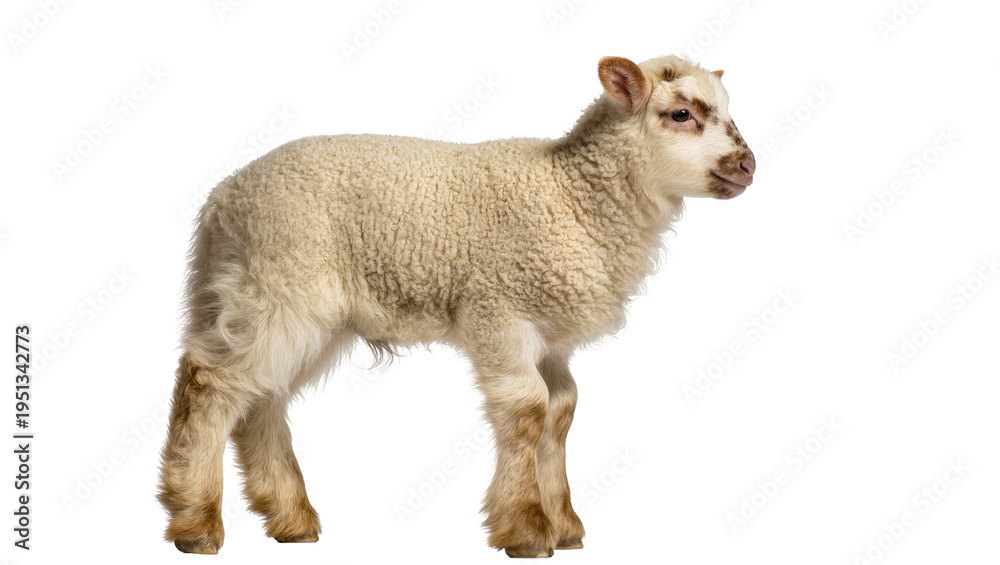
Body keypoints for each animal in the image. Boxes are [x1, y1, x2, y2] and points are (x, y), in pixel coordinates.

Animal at [157, 54, 755, 558]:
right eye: (681, 114)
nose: (747, 165)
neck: (574, 197)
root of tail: (221, 201)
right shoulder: (499, 311)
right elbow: (528, 411)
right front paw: (527, 528)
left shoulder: (550, 335)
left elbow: (561, 412)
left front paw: (564, 525)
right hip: (279, 284)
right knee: (212, 383)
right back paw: (196, 523)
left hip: (284, 300)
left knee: (263, 399)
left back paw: (291, 519)